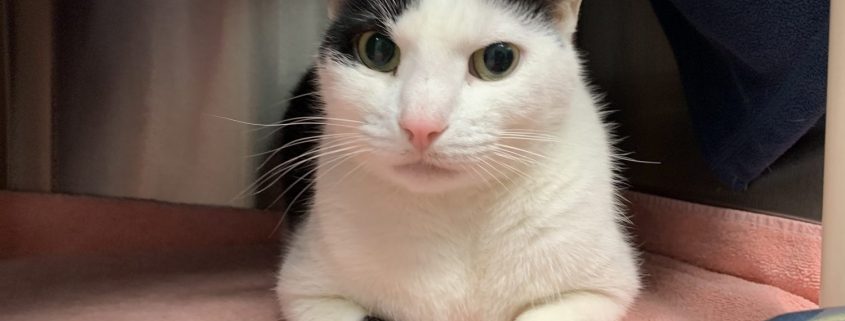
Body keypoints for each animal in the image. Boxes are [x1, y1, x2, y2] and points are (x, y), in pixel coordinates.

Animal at [276, 0, 640, 320]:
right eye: (377, 50)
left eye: (498, 59)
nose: (421, 125)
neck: (454, 210)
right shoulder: (306, 290)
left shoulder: (598, 291)